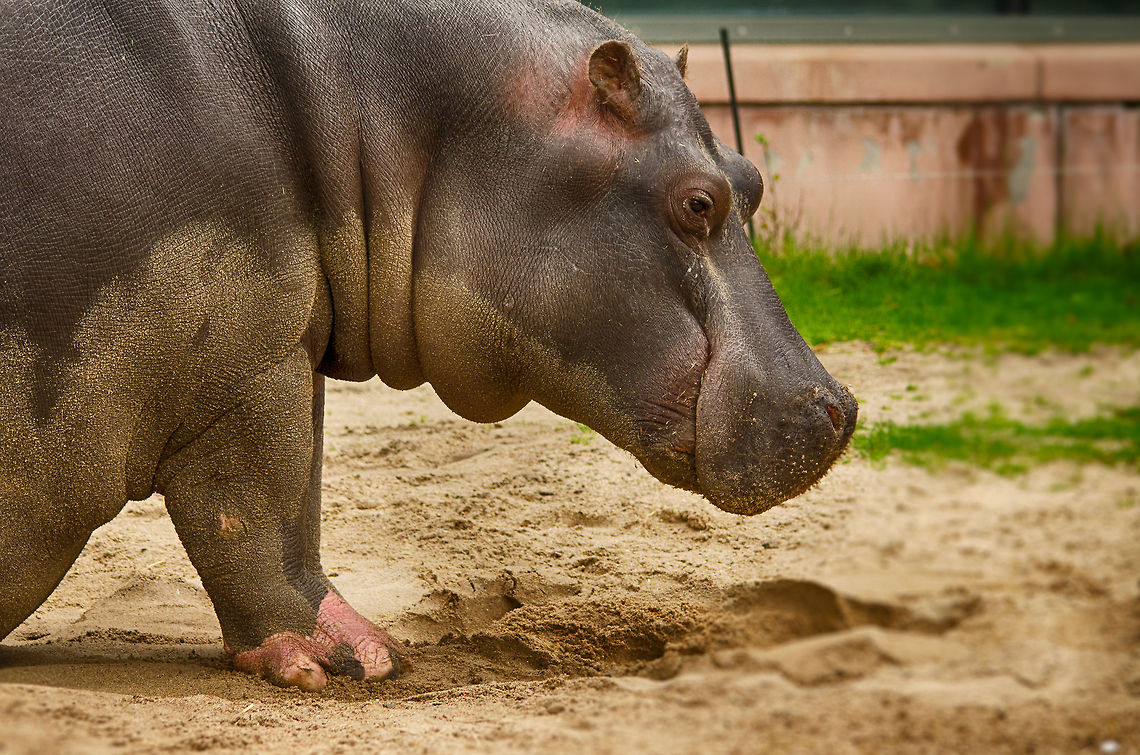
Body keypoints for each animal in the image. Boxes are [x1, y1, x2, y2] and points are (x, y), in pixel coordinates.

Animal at [0, 0, 856, 690]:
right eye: (698, 202)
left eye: (752, 176)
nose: (841, 408)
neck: (363, 93)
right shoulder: (246, 363)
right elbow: (259, 514)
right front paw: (358, 661)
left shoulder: (287, 344)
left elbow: (292, 496)